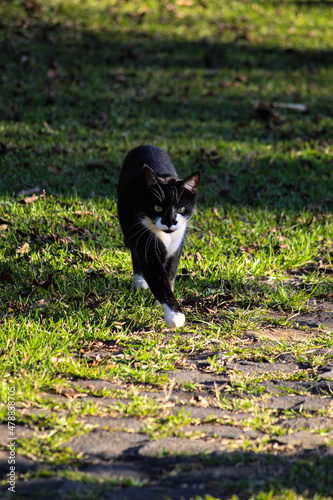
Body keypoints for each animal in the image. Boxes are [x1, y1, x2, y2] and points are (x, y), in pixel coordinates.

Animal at [117, 146, 200, 328]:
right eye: (158, 208)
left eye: (181, 208)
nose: (170, 222)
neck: (166, 236)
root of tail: (145, 145)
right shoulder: (143, 235)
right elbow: (157, 276)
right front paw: (175, 315)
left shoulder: (178, 242)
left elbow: (170, 273)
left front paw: (159, 304)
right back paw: (140, 282)